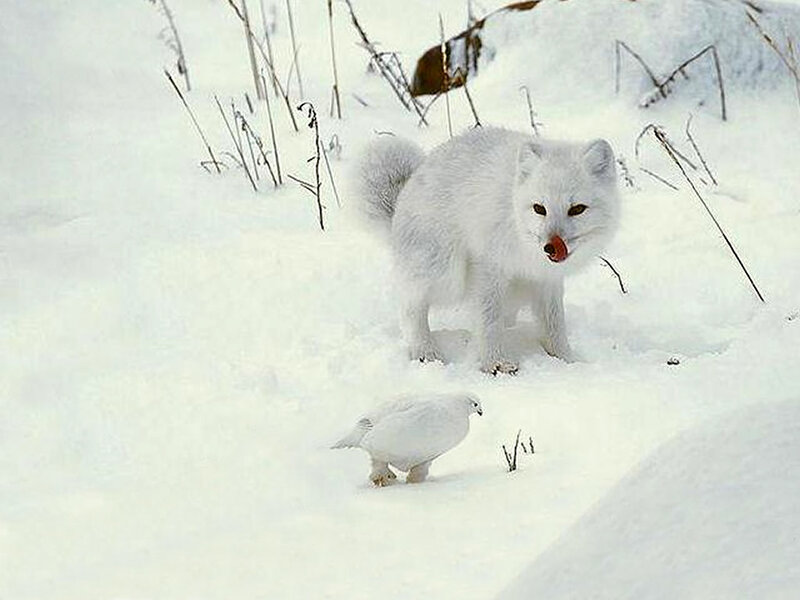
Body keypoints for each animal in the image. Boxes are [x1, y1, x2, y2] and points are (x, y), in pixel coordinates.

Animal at [355, 127, 620, 375]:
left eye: (577, 209)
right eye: (539, 208)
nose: (551, 247)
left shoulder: (547, 280)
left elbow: (554, 324)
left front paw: (566, 361)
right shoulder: (487, 268)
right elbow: (488, 320)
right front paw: (496, 363)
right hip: (443, 271)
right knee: (409, 304)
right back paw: (424, 351)